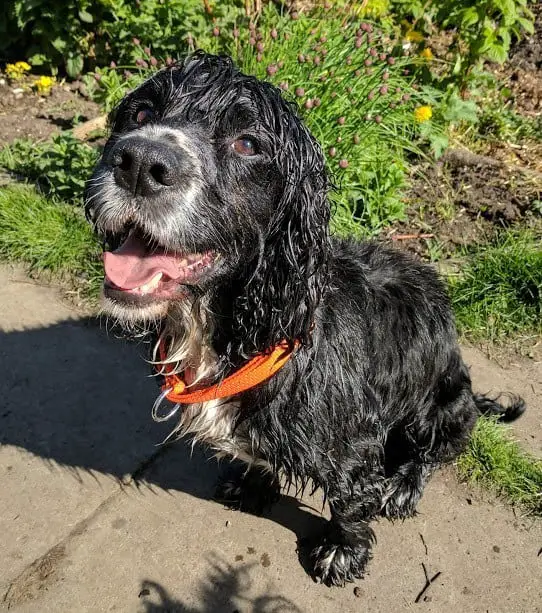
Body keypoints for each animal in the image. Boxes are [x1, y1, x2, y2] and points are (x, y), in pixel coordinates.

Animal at [85, 53, 528, 588]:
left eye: (247, 142)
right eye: (142, 113)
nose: (138, 164)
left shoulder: (355, 447)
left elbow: (350, 500)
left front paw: (342, 550)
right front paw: (253, 482)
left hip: (439, 407)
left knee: (433, 453)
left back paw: (403, 487)